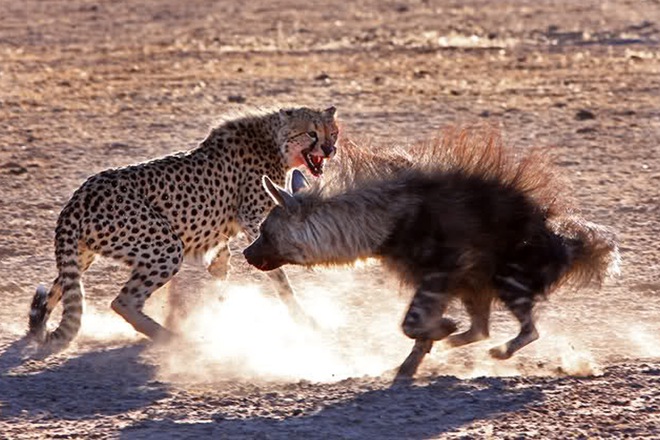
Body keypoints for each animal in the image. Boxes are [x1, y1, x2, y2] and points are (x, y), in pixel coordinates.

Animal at [28, 105, 338, 348]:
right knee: (122, 302)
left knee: (61, 289)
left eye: (332, 133)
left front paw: (217, 308)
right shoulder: (254, 218)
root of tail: (78, 196)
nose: (329, 149)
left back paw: (40, 329)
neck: (274, 142)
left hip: (84, 254)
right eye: (312, 133)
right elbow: (280, 278)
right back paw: (170, 338)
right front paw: (303, 317)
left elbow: (221, 269)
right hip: (164, 247)